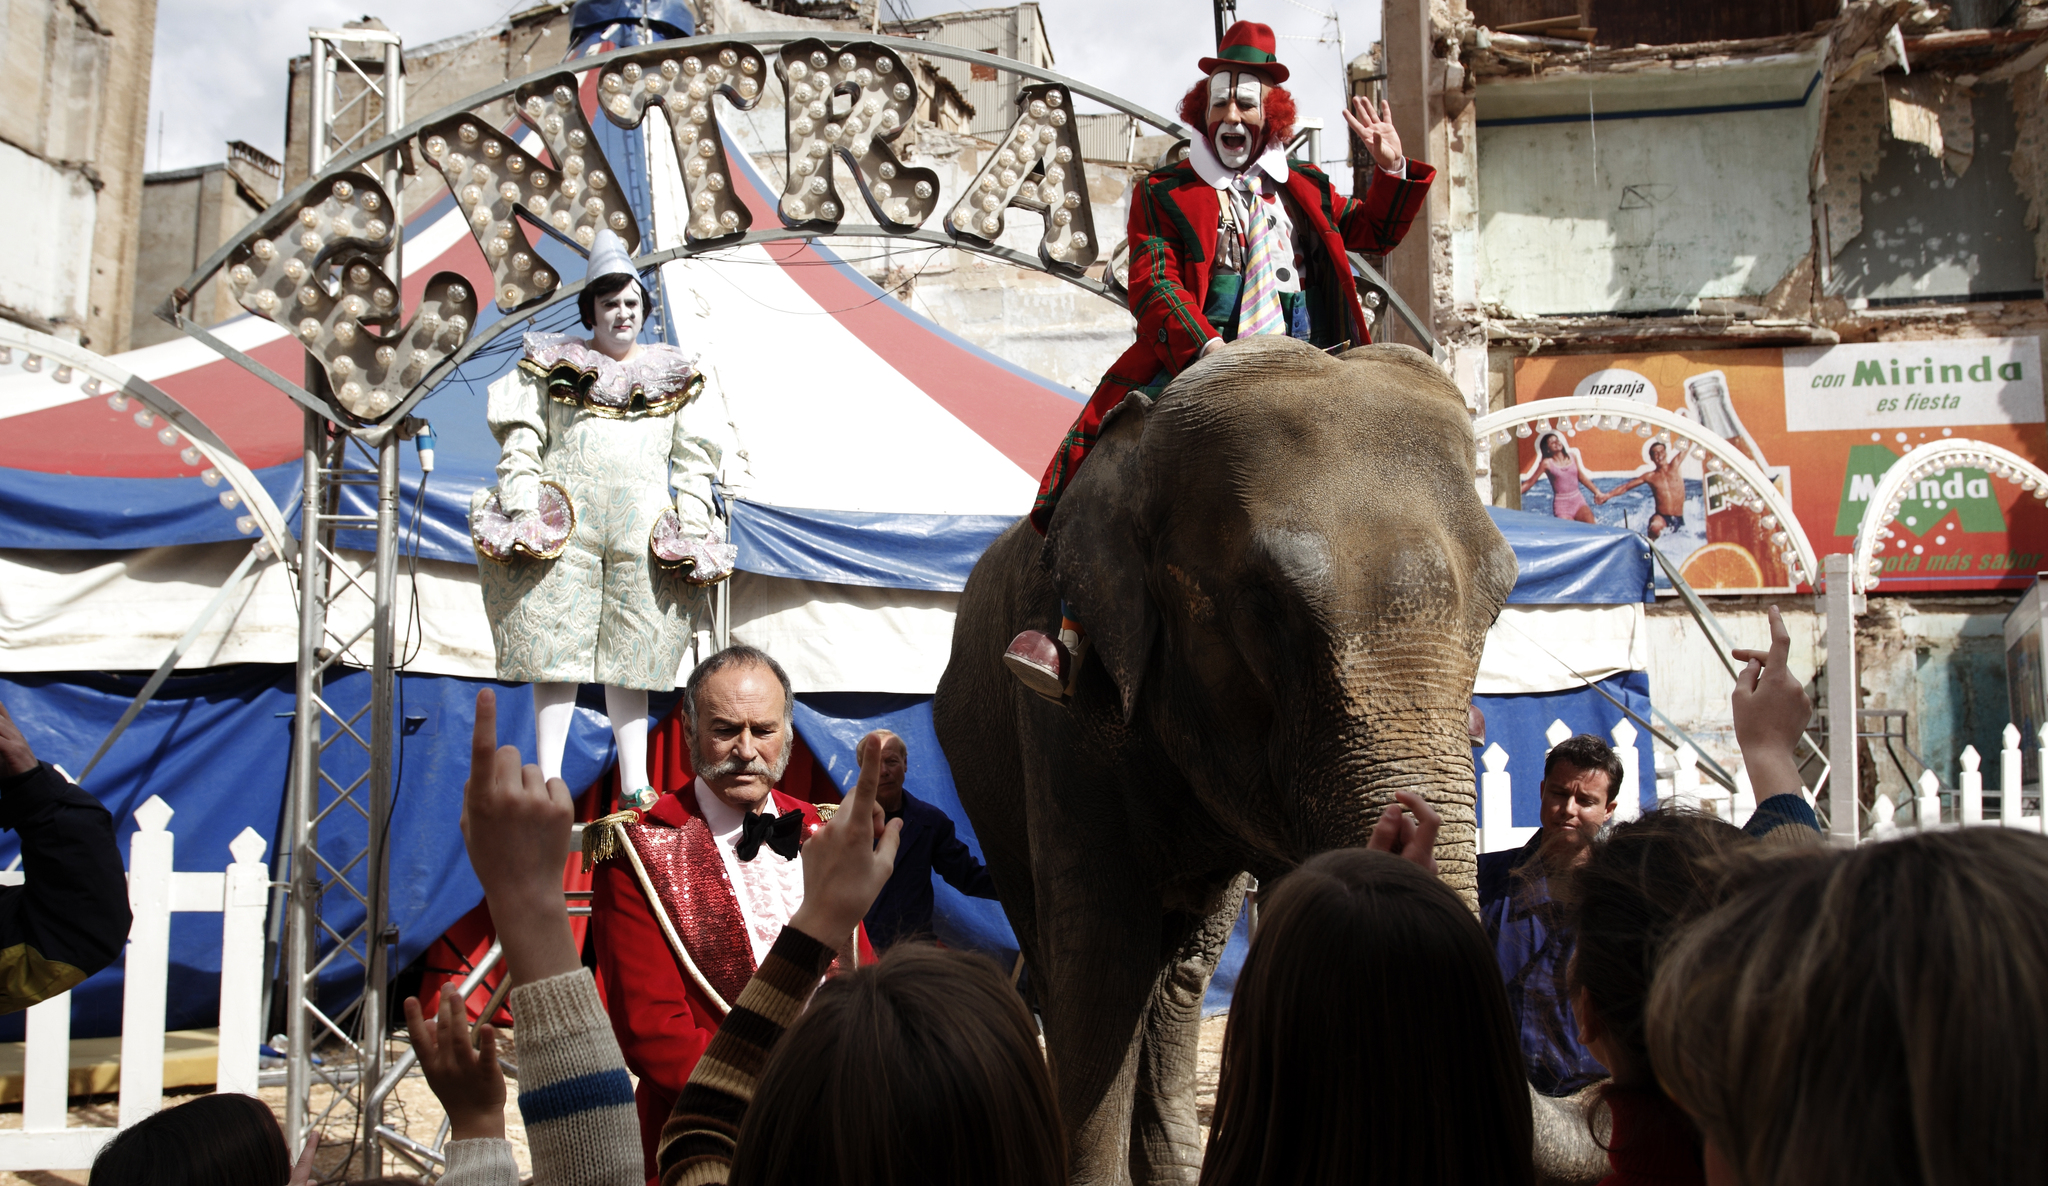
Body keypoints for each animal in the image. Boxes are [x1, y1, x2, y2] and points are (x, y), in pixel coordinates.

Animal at [937, 337, 1531, 1179]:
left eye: (1500, 603)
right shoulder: (1065, 710)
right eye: (1266, 607)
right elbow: (1101, 956)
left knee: (1182, 972)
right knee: (1071, 959)